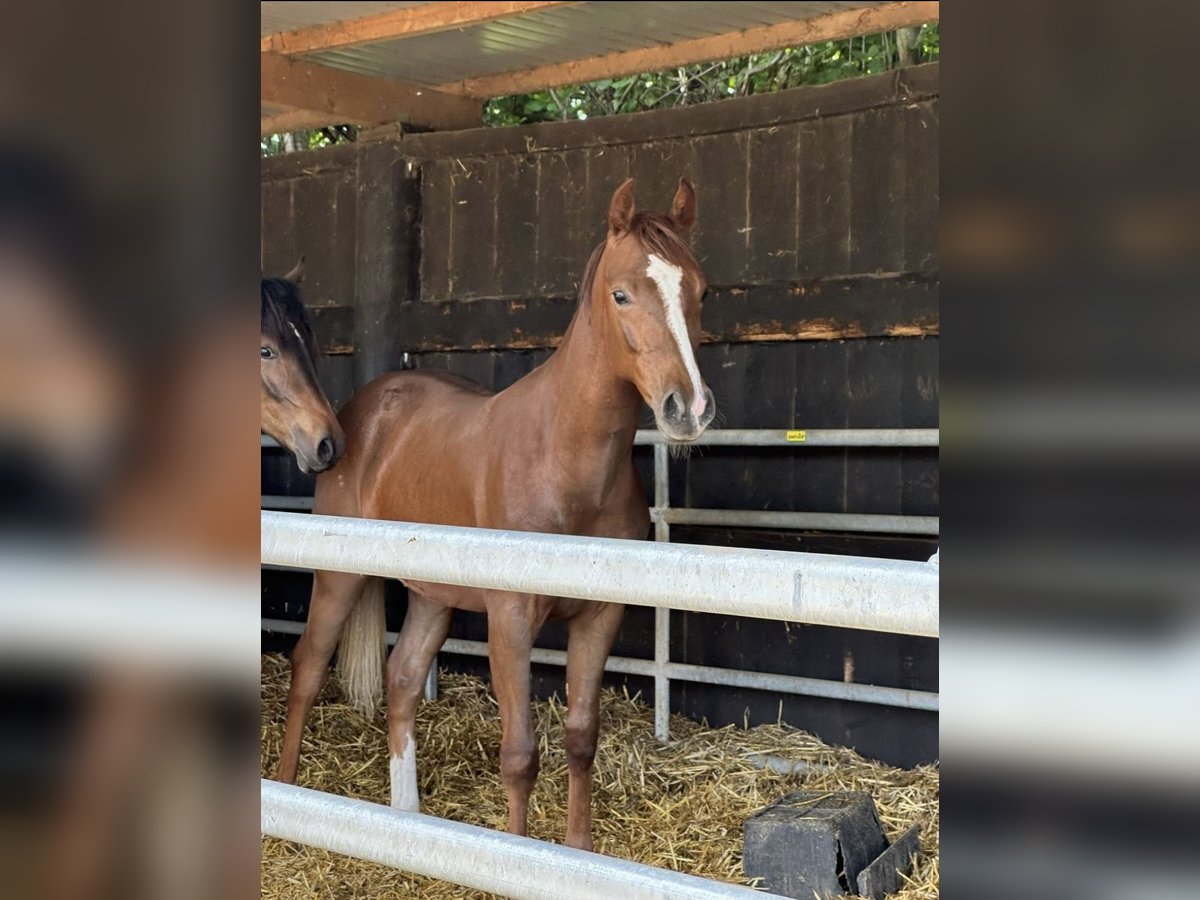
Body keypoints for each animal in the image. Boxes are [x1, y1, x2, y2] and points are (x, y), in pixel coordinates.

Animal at [277, 177, 715, 854]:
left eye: (699, 290)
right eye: (621, 294)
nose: (688, 409)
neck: (564, 459)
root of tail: (354, 417)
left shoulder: (600, 618)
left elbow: (580, 740)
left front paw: (578, 854)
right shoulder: (510, 619)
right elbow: (520, 755)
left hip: (433, 595)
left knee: (403, 677)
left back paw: (407, 817)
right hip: (339, 579)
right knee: (307, 668)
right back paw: (288, 789)